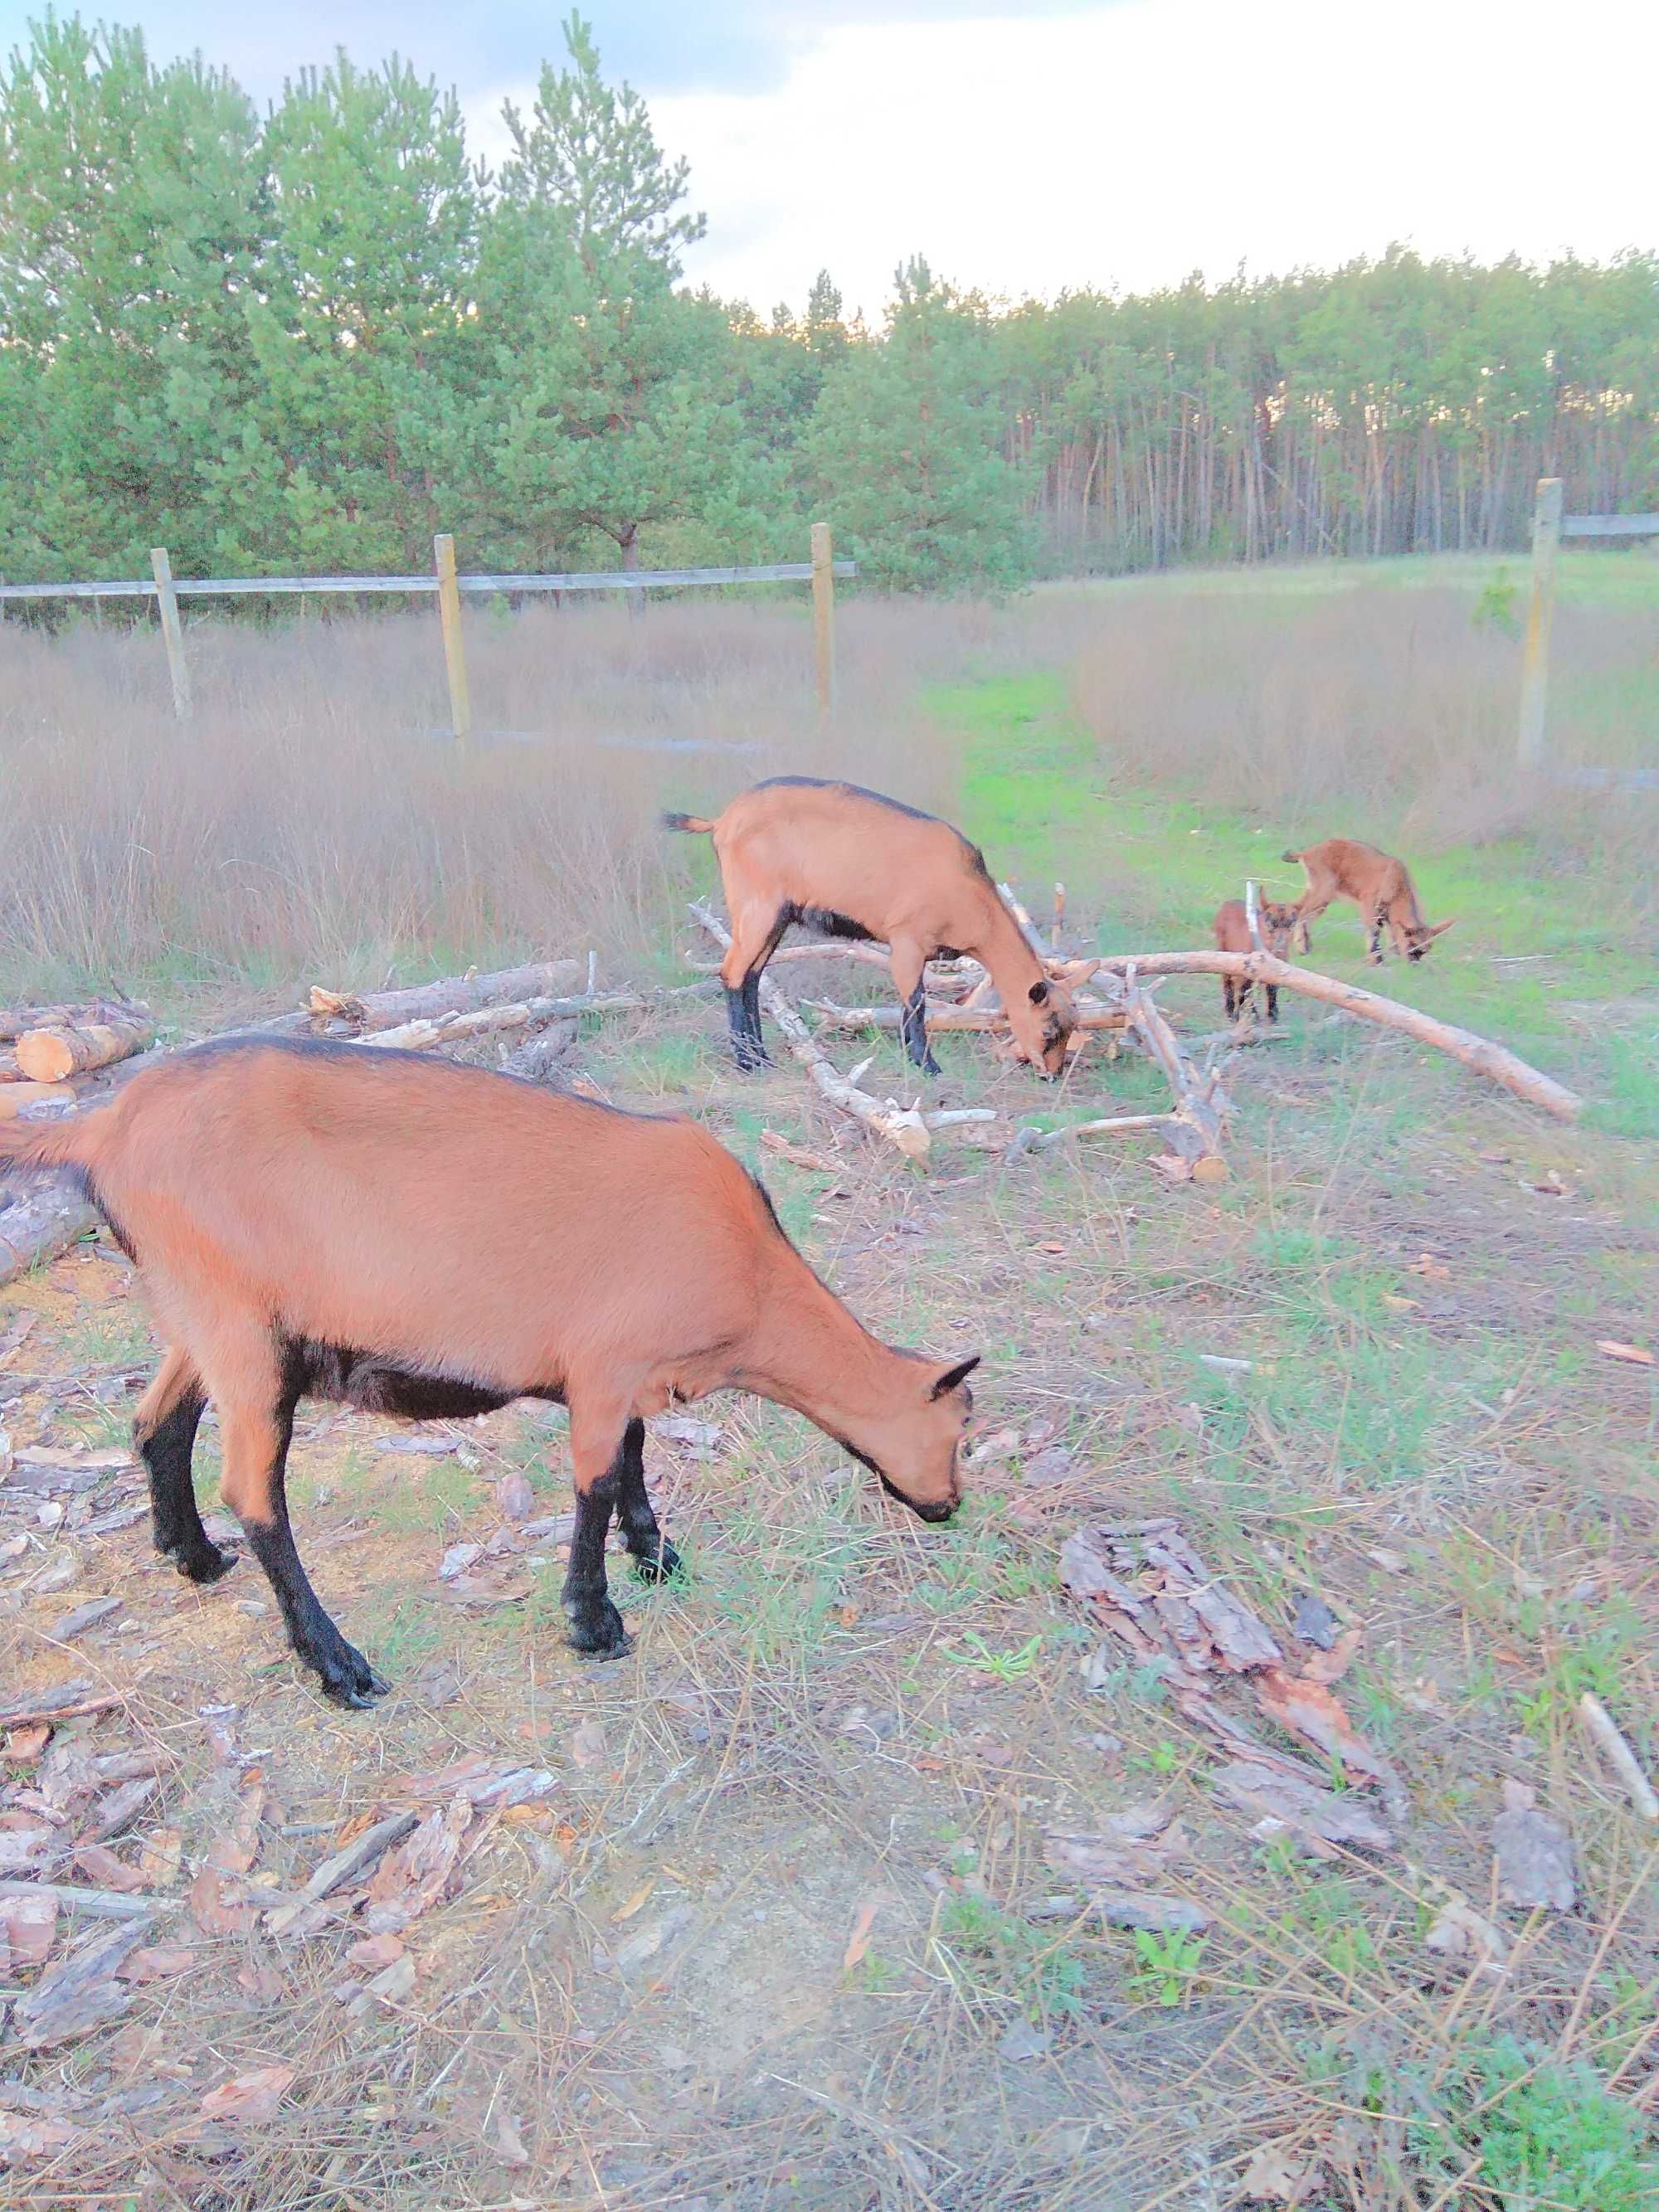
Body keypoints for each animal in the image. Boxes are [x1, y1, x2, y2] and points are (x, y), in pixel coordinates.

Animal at [0, 1043, 982, 1699]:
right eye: (961, 1427)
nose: (947, 1507)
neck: (748, 1275)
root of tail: (106, 1126)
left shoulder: (627, 1375)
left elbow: (633, 1457)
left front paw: (655, 1554)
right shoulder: (603, 1365)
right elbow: (595, 1483)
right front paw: (595, 1623)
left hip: (198, 1314)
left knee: (155, 1418)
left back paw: (193, 1555)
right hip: (243, 1332)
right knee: (255, 1492)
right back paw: (339, 1665)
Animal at [668, 783, 1079, 1075]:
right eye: (1048, 1031)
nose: (1052, 1074)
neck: (971, 898)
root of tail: (722, 821)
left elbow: (908, 1003)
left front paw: (912, 1059)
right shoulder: (907, 940)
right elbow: (916, 1003)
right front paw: (927, 1065)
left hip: (776, 916)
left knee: (752, 976)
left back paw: (762, 1057)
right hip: (757, 907)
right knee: (733, 973)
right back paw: (747, 1063)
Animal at [1212, 893, 1309, 1022]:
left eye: (1291, 924)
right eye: (1271, 924)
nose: (1280, 943)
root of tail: (1228, 903)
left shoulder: (1277, 972)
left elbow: (1272, 994)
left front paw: (1273, 1017)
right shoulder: (1245, 969)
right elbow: (1243, 993)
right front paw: (1239, 1017)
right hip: (1223, 950)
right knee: (1228, 982)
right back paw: (1230, 1011)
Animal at [1282, 836, 1451, 960]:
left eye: (1427, 948)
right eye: (1411, 943)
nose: (1414, 963)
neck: (1397, 882)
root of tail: (1306, 853)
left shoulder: (1387, 914)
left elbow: (1390, 934)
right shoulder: (1368, 902)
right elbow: (1374, 931)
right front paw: (1376, 960)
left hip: (1319, 893)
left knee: (1298, 908)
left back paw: (1304, 948)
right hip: (1323, 890)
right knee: (1302, 912)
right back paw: (1301, 949)